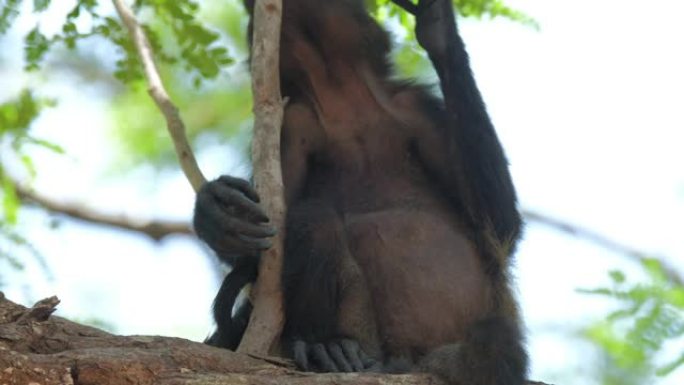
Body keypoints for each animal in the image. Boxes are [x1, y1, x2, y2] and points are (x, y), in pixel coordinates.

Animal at [192, 0, 528, 382]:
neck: (341, 99)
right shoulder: (291, 127)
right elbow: (263, 247)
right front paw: (217, 214)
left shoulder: (418, 107)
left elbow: (500, 226)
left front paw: (440, 30)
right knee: (314, 217)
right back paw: (325, 346)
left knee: (494, 340)